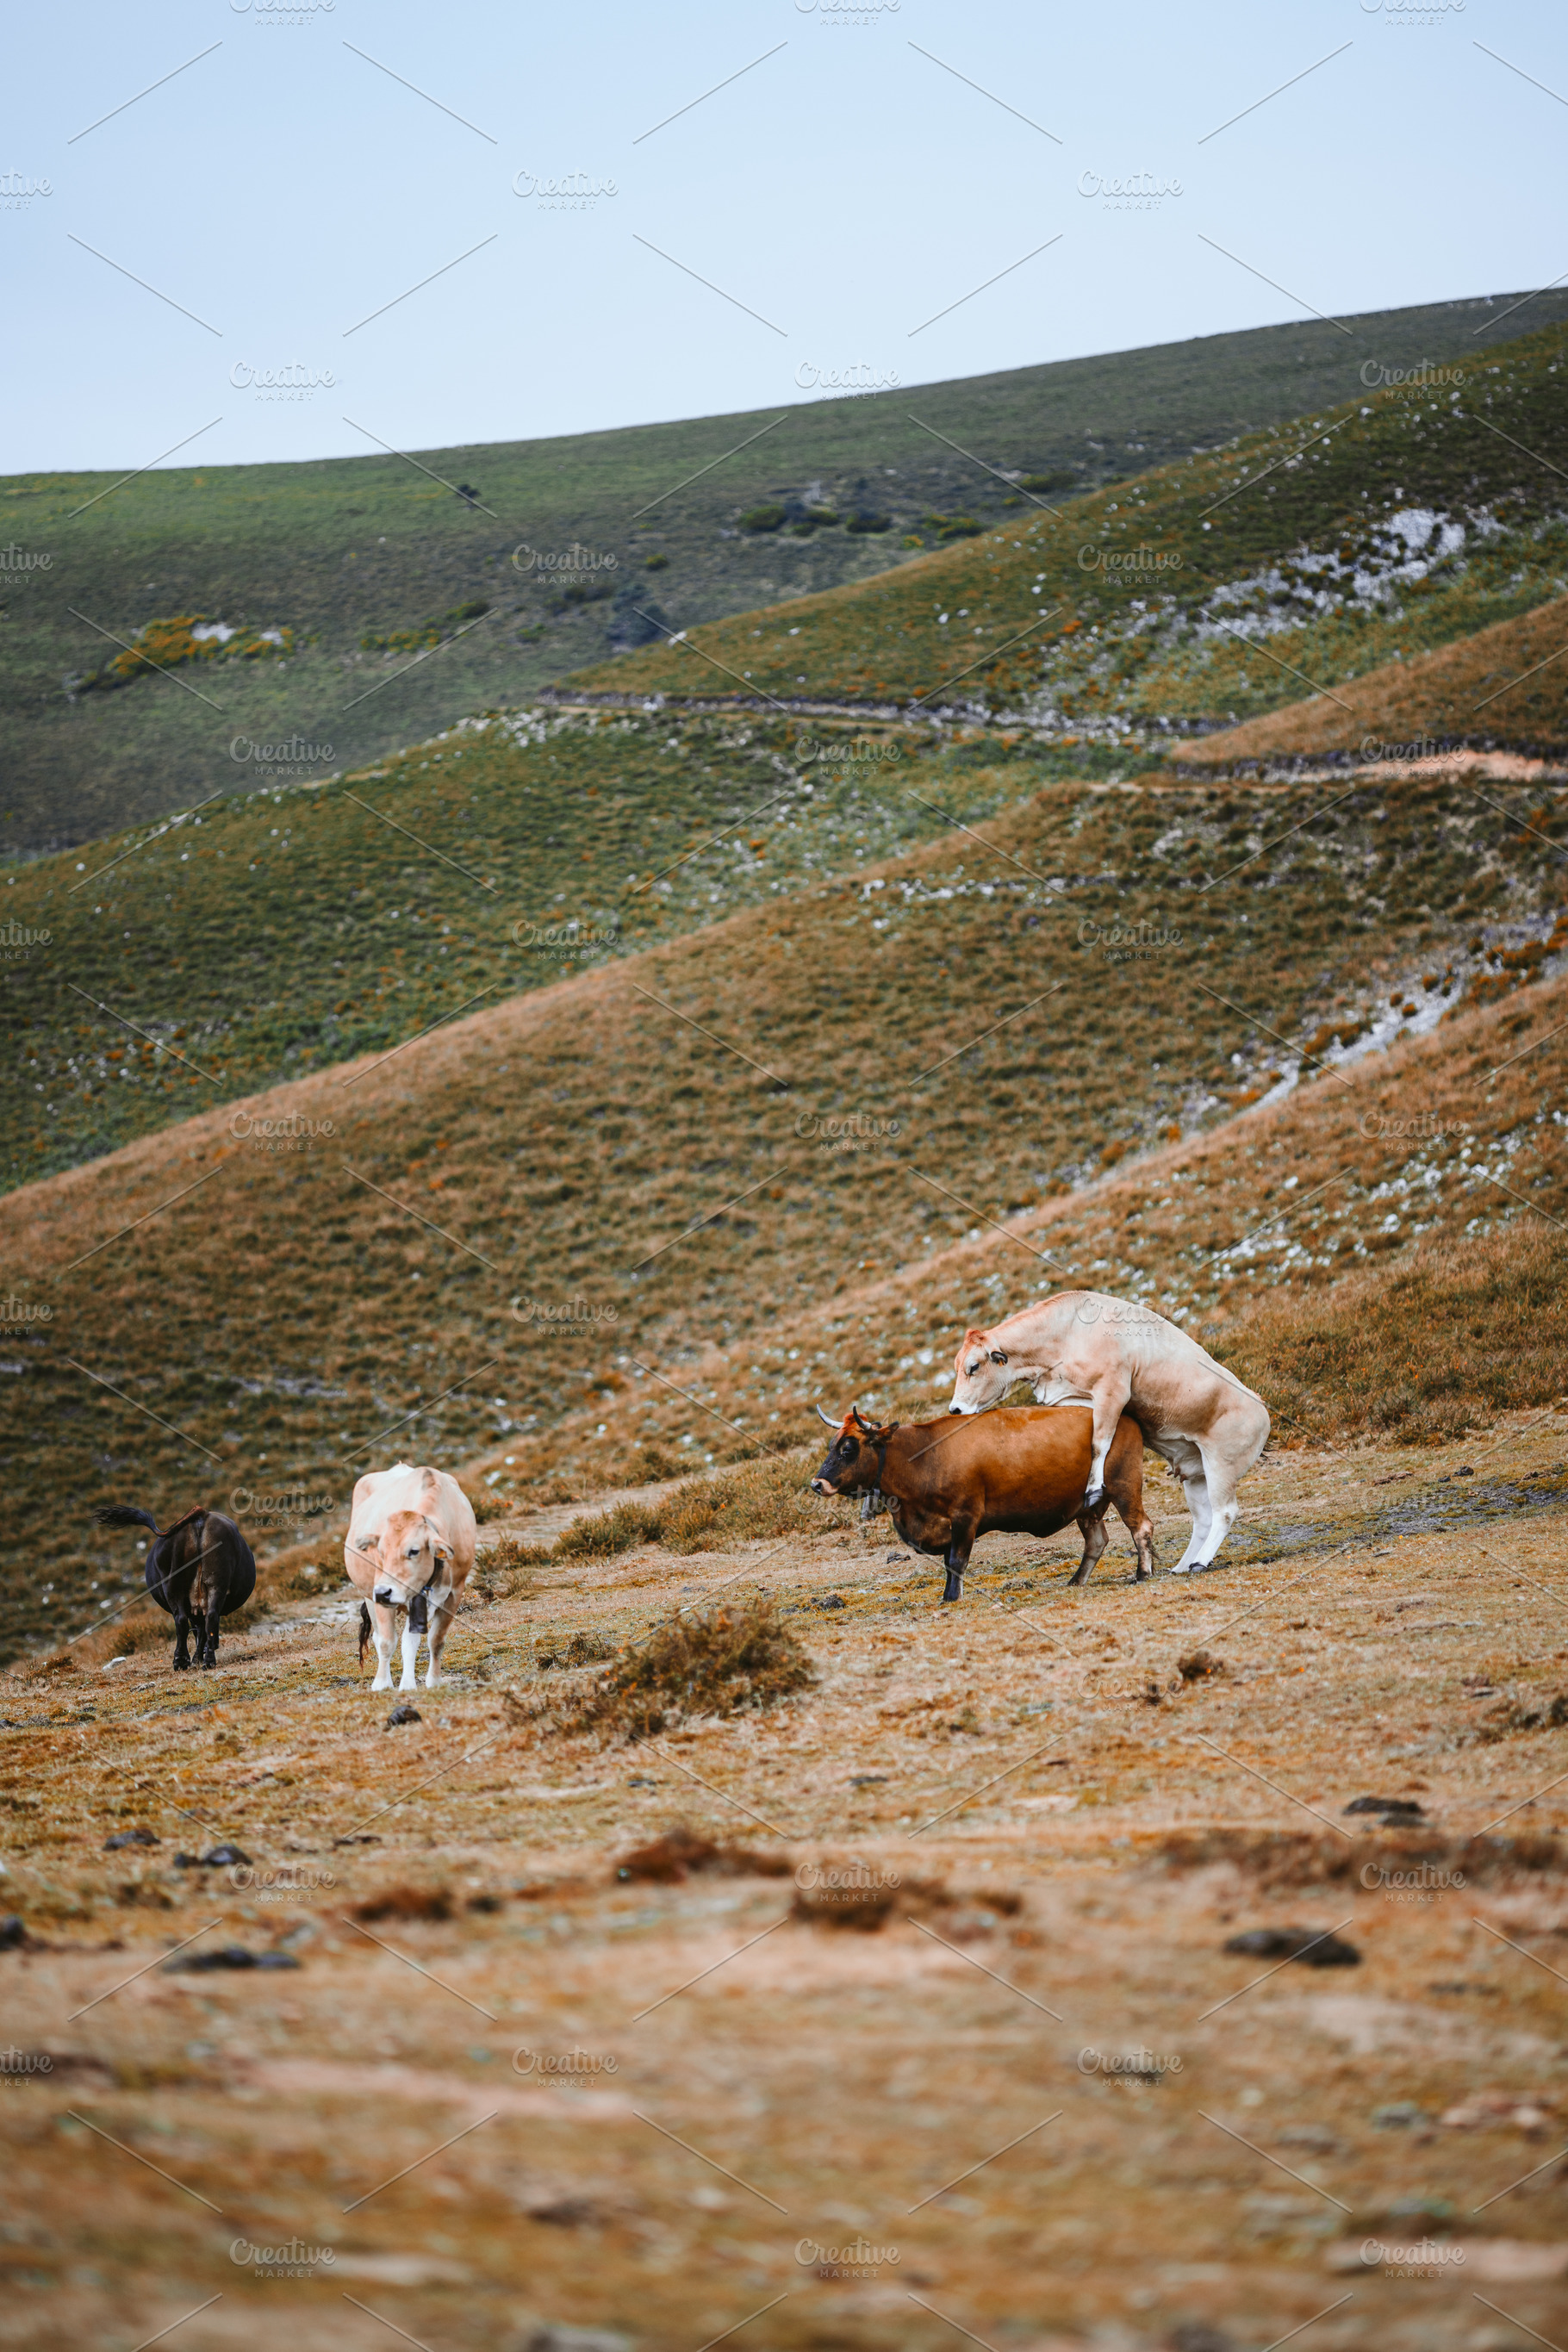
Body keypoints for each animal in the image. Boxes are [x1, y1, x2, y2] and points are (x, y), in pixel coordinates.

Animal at [93, 1503, 256, 1670]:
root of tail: (202, 1513)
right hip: (212, 1583)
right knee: (207, 1618)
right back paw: (206, 1661)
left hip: (177, 1586)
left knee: (184, 1620)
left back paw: (182, 1661)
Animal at [344, 1463, 476, 1692]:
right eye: (381, 1551)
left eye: (414, 1551)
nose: (384, 1592)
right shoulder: (379, 1592)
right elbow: (386, 1641)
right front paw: (381, 1684)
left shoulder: (454, 1593)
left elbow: (435, 1640)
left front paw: (433, 1681)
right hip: (369, 1595)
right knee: (379, 1637)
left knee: (409, 1641)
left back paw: (407, 1683)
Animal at [811, 1403, 1153, 1602]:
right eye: (832, 1445)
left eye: (848, 1449)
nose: (817, 1483)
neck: (924, 1456)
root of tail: (1125, 1416)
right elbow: (949, 1562)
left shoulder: (966, 1516)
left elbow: (956, 1561)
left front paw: (951, 1598)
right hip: (1089, 1506)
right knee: (1096, 1541)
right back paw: (1076, 1581)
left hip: (1124, 1487)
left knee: (1141, 1527)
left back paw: (1143, 1574)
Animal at [948, 1292, 1270, 1575]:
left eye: (973, 1367)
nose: (955, 1409)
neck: (1063, 1336)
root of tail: (1261, 1406)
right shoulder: (1071, 1396)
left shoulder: (1112, 1391)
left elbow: (1099, 1442)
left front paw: (1093, 1488)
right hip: (1196, 1474)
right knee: (1203, 1520)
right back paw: (1182, 1565)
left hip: (1222, 1464)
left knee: (1225, 1512)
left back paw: (1200, 1562)